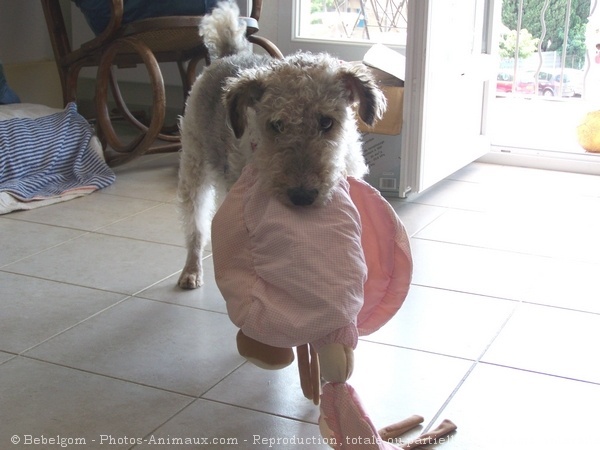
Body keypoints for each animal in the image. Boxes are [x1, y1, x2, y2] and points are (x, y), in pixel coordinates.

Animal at [176, 0, 386, 288]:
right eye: (276, 124)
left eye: (327, 122)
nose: (302, 197)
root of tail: (229, 54)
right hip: (193, 165)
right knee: (195, 225)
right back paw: (191, 271)